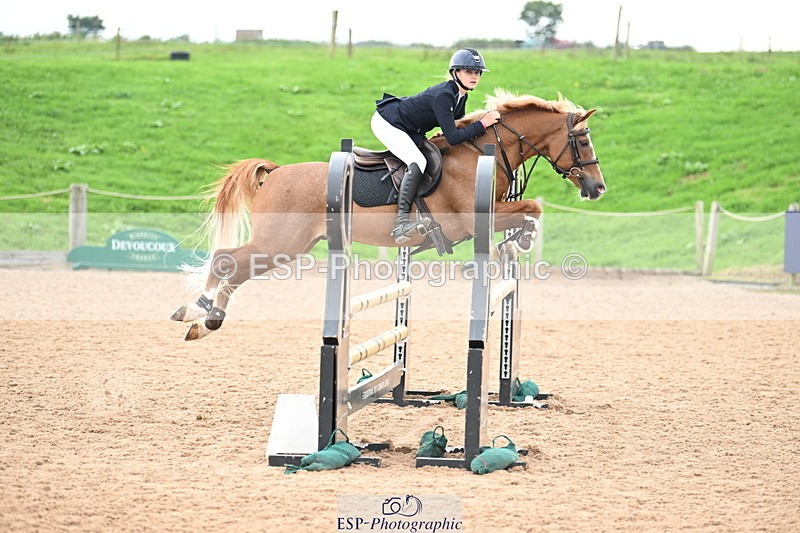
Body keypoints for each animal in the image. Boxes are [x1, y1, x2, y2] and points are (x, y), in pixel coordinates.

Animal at [171, 90, 606, 340]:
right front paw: (524, 237)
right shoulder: (474, 219)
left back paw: (207, 320)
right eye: (583, 141)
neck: (482, 152)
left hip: (288, 246)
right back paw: (197, 311)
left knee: (236, 267)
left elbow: (529, 211)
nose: (597, 188)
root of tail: (275, 172)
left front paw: (520, 240)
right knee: (226, 259)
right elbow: (532, 208)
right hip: (281, 243)